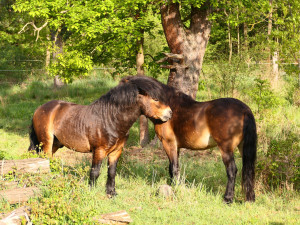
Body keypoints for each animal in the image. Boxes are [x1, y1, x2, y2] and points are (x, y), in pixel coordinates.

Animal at [29, 76, 173, 197]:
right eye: (155, 99)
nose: (170, 112)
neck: (110, 119)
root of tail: (39, 109)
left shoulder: (116, 151)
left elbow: (112, 172)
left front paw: (111, 193)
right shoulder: (99, 151)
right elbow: (95, 171)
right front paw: (91, 191)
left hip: (55, 144)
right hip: (46, 142)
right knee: (45, 160)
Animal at [125, 76, 256, 204]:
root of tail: (244, 109)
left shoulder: (168, 143)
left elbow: (174, 168)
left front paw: (176, 188)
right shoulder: (176, 147)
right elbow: (172, 167)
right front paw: (173, 187)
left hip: (226, 148)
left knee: (232, 170)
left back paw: (227, 198)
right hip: (242, 147)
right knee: (248, 170)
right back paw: (250, 199)